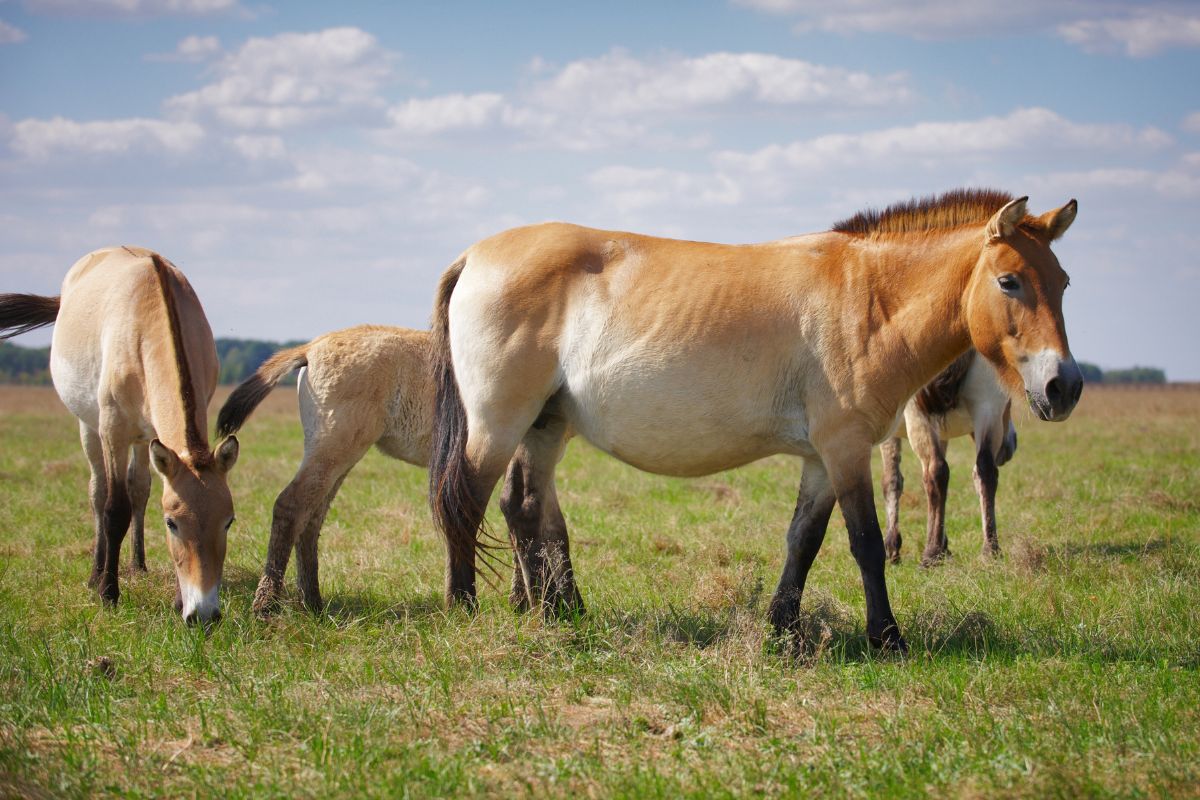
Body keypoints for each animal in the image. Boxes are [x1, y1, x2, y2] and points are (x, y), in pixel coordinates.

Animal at [0, 247, 238, 623]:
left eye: (228, 522)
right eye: (171, 524)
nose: (203, 614)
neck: (147, 328)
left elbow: (143, 495)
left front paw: (176, 599)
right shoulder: (113, 430)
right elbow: (115, 509)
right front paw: (108, 593)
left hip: (144, 440)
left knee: (139, 489)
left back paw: (138, 565)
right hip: (90, 428)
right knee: (98, 492)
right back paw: (96, 573)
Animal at [216, 326, 580, 618]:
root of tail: (310, 348)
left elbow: (547, 526)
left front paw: (544, 603)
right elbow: (532, 523)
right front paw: (542, 604)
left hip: (334, 454)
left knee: (311, 518)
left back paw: (313, 603)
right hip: (337, 447)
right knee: (291, 506)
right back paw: (266, 606)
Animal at [878, 350, 1017, 568]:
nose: (1009, 446)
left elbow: (891, 481)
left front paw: (892, 547)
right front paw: (944, 545)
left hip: (918, 413)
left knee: (935, 471)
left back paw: (931, 554)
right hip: (988, 405)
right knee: (985, 471)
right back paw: (990, 551)